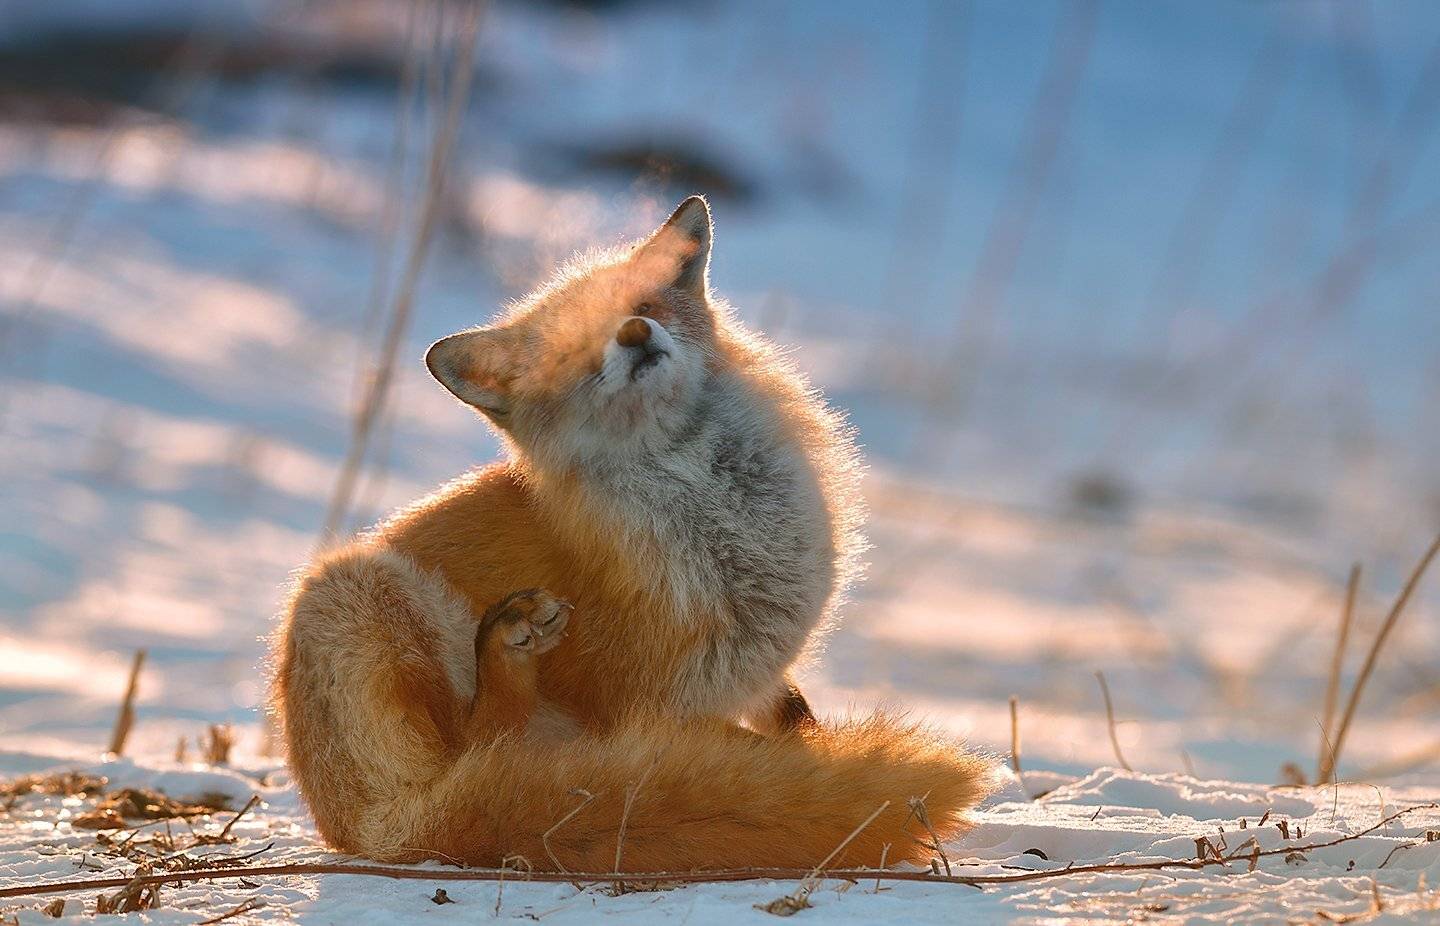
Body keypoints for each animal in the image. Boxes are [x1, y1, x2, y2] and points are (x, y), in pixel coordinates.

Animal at [270, 195, 991, 873]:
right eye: (572, 350)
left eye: (644, 304)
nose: (635, 331)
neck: (724, 529)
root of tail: (373, 832)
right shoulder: (637, 702)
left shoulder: (752, 681)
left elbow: (797, 723)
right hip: (353, 593)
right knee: (485, 744)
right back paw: (505, 649)